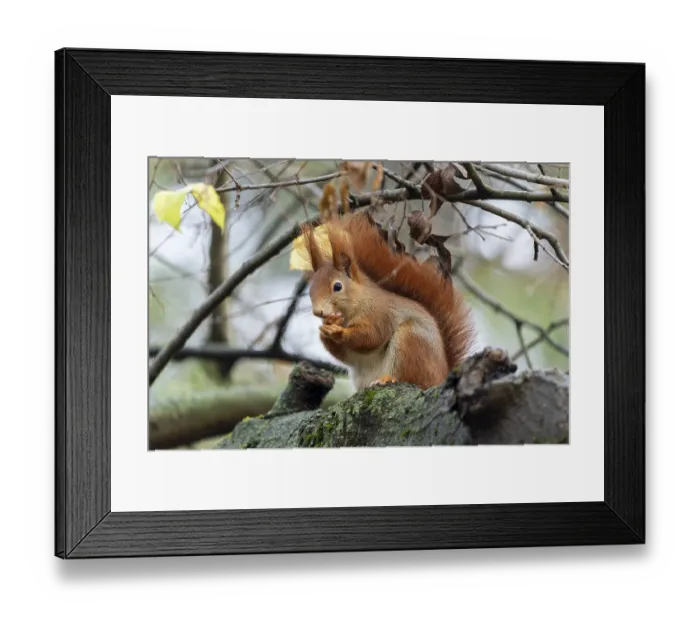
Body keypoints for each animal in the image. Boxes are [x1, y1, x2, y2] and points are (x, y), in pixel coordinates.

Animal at [301, 210, 475, 391]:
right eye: (310, 291)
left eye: (337, 286)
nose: (318, 311)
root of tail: (442, 375)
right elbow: (343, 354)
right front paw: (325, 330)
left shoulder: (381, 313)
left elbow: (371, 337)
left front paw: (338, 331)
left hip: (412, 341)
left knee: (414, 379)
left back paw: (387, 379)